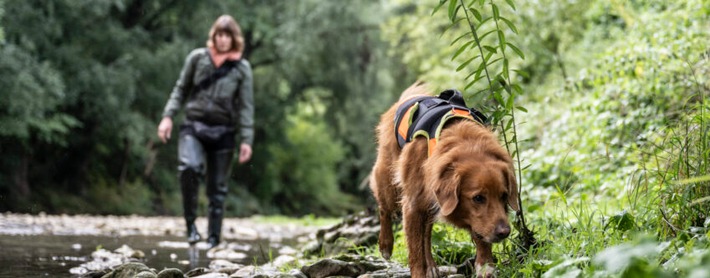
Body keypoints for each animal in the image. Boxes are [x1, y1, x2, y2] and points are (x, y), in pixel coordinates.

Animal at [370, 81, 520, 276]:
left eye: (503, 196)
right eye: (478, 198)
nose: (505, 232)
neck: (468, 144)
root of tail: (408, 97)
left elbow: (479, 234)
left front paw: (485, 265)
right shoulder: (412, 205)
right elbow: (415, 251)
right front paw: (418, 272)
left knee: (426, 234)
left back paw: (431, 266)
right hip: (389, 182)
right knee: (384, 208)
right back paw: (386, 244)